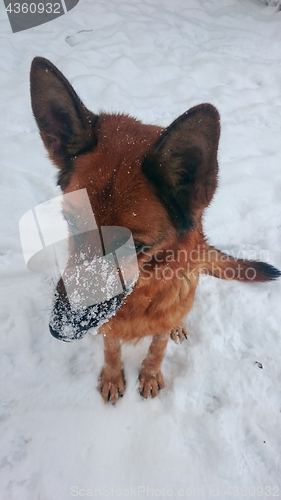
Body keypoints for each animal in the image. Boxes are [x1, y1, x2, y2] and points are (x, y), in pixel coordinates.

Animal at [29, 57, 278, 402]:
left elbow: (157, 348)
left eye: (135, 246)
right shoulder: (110, 326)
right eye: (71, 223)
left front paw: (149, 375)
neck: (140, 293)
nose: (59, 330)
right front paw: (112, 377)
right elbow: (111, 348)